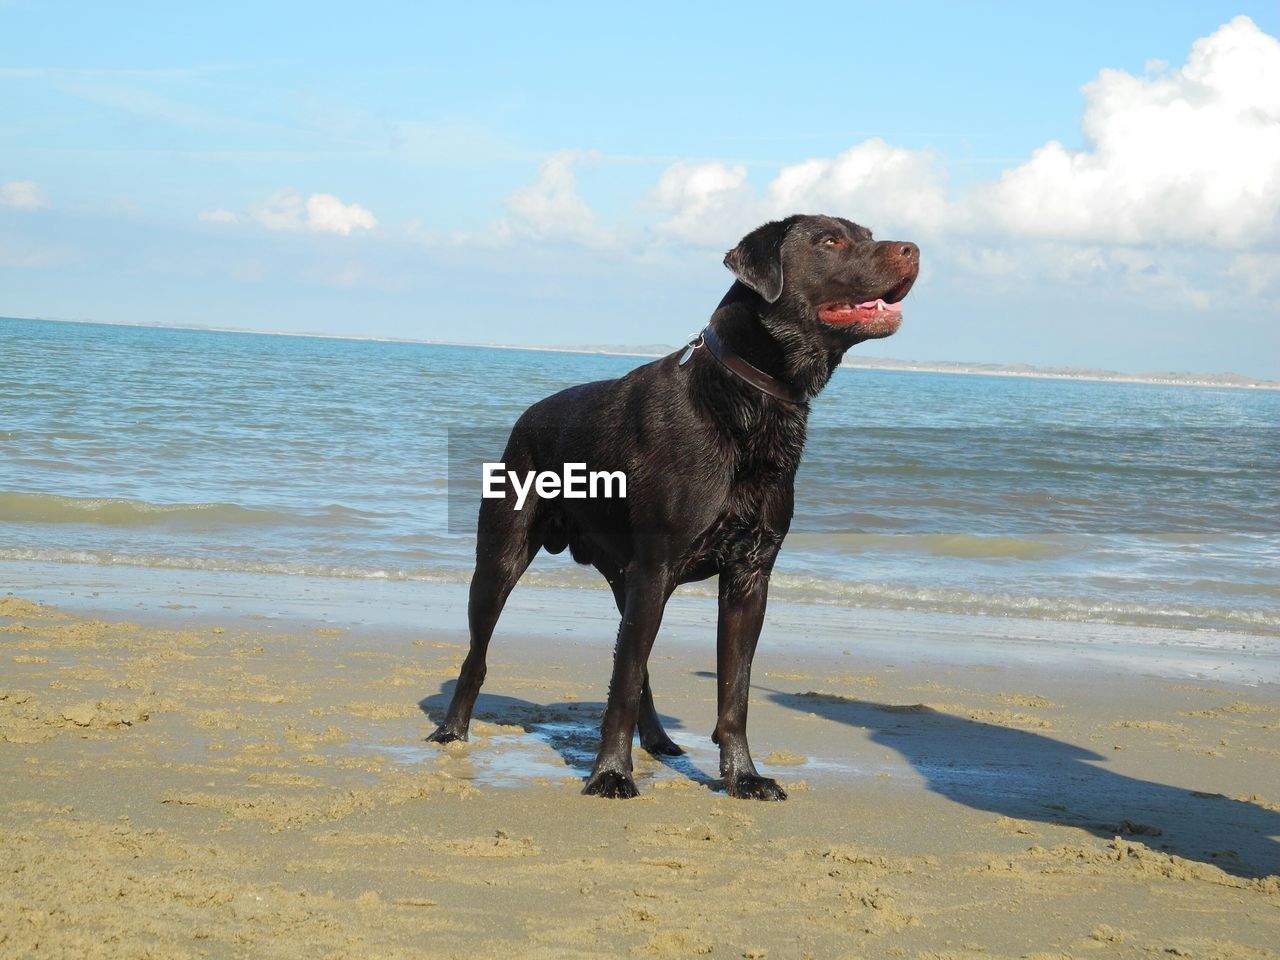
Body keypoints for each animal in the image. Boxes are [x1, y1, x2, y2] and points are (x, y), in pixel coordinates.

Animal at [430, 213, 921, 798]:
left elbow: (733, 691)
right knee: (479, 655)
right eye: (830, 241)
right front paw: (610, 774)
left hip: (624, 579)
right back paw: (451, 731)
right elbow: (622, 684)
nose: (914, 249)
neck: (753, 400)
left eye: (867, 233)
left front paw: (743, 776)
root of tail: (525, 417)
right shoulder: (656, 568)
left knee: (633, 664)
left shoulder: (749, 575)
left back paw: (660, 740)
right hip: (503, 561)